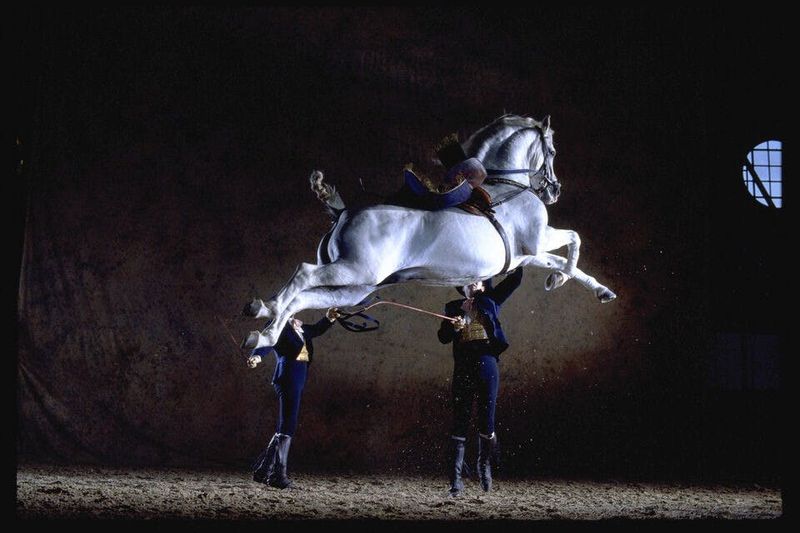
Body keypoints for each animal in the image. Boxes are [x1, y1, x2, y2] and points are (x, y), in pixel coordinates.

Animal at [241, 114, 616, 359]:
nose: (554, 190)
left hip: (355, 289)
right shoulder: (538, 240)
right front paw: (560, 278)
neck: (506, 187)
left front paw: (591, 288)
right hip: (354, 270)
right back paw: (266, 310)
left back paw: (263, 333)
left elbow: (565, 258)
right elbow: (575, 239)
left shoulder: (528, 253)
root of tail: (343, 212)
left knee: (303, 298)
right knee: (302, 275)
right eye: (551, 151)